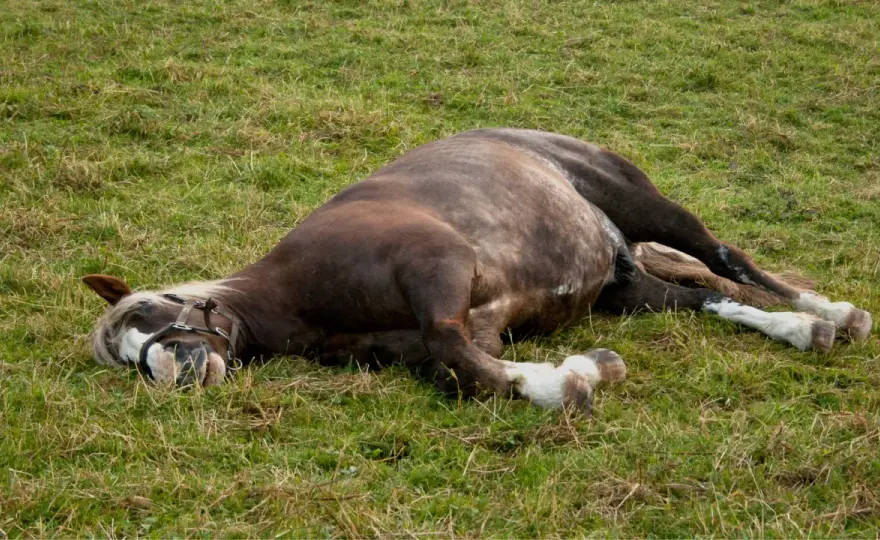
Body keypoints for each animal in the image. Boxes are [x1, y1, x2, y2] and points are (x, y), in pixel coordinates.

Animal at [83, 128, 873, 415]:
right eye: (125, 358)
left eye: (151, 310)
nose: (172, 372)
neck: (299, 293)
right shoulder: (469, 329)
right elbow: (465, 369)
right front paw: (579, 371)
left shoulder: (440, 269)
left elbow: (452, 348)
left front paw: (571, 382)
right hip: (626, 286)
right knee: (705, 296)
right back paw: (799, 329)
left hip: (648, 208)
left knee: (727, 260)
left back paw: (832, 313)